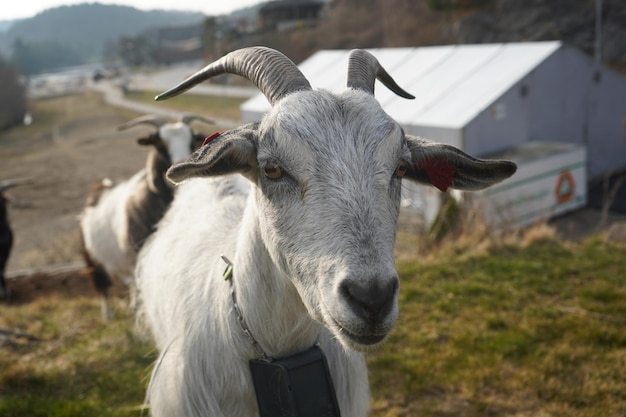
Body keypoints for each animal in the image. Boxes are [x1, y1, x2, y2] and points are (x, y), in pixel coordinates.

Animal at [79, 114, 211, 318]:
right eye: (159, 144)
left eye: (192, 141)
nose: (181, 166)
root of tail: (100, 187)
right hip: (93, 260)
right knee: (103, 288)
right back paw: (107, 316)